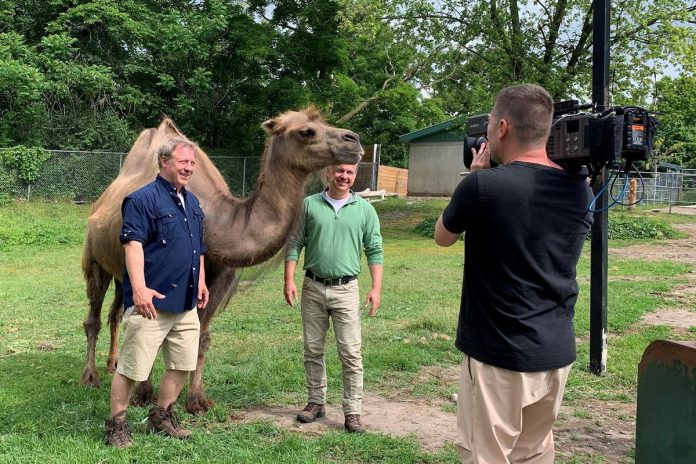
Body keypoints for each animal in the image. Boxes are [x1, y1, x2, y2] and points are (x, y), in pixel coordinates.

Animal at [80, 108, 364, 414]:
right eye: (306, 131)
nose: (354, 140)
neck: (216, 223)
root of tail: (99, 203)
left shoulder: (218, 280)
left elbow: (202, 338)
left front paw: (197, 400)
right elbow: (151, 335)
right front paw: (144, 395)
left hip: (121, 274)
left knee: (115, 313)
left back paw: (113, 364)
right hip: (95, 259)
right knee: (95, 316)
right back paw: (91, 376)